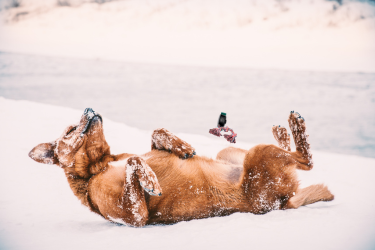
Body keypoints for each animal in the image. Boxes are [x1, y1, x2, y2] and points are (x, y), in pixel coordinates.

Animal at [29, 107, 334, 227]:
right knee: (306, 160)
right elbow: (134, 162)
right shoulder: (135, 217)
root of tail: (284, 202)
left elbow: (153, 135)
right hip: (258, 159)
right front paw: (150, 180)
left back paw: (282, 131)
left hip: (230, 152)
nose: (89, 108)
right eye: (70, 130)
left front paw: (180, 144)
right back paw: (293, 124)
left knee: (295, 154)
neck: (100, 164)